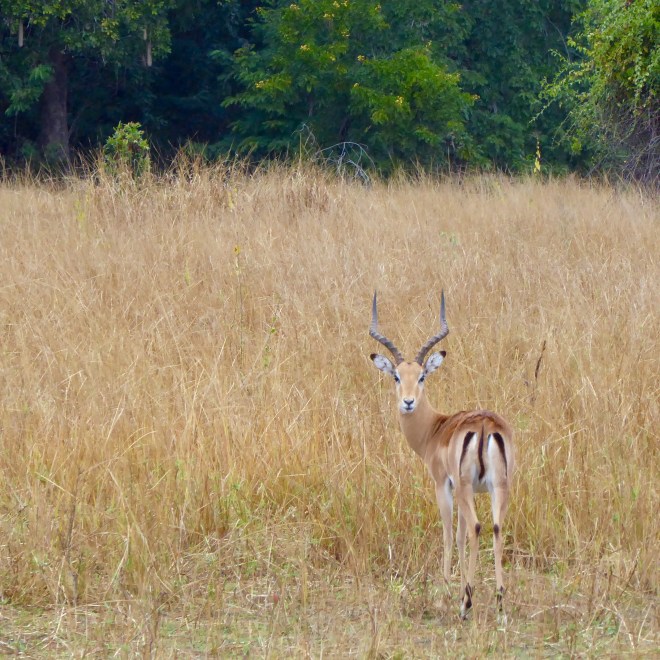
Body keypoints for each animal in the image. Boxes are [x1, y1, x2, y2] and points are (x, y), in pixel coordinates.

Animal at [369, 291, 514, 619]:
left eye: (422, 376)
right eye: (397, 376)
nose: (408, 402)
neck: (436, 428)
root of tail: (485, 425)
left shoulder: (443, 484)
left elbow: (449, 534)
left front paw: (448, 592)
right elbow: (459, 536)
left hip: (464, 487)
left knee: (475, 527)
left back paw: (466, 605)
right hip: (499, 486)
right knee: (496, 527)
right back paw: (500, 600)